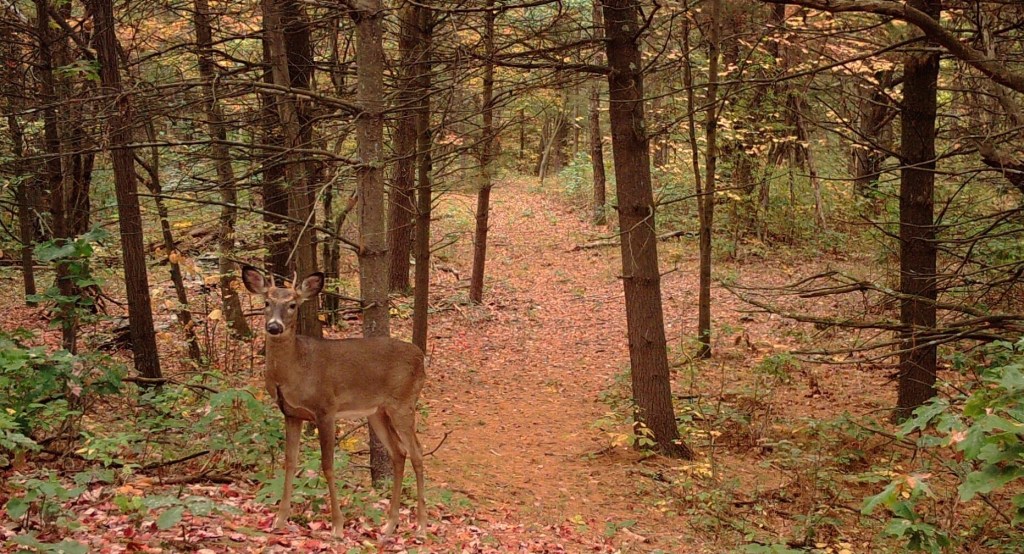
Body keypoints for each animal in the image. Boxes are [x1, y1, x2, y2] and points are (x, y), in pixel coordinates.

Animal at [240, 266, 428, 536]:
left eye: (292, 305)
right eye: (266, 302)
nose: (274, 326)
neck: (295, 370)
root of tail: (421, 358)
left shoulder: (325, 409)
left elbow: (328, 465)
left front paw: (338, 525)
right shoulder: (291, 413)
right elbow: (290, 461)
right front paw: (279, 519)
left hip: (403, 402)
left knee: (417, 453)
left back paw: (421, 525)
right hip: (377, 411)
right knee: (399, 453)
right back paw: (390, 524)